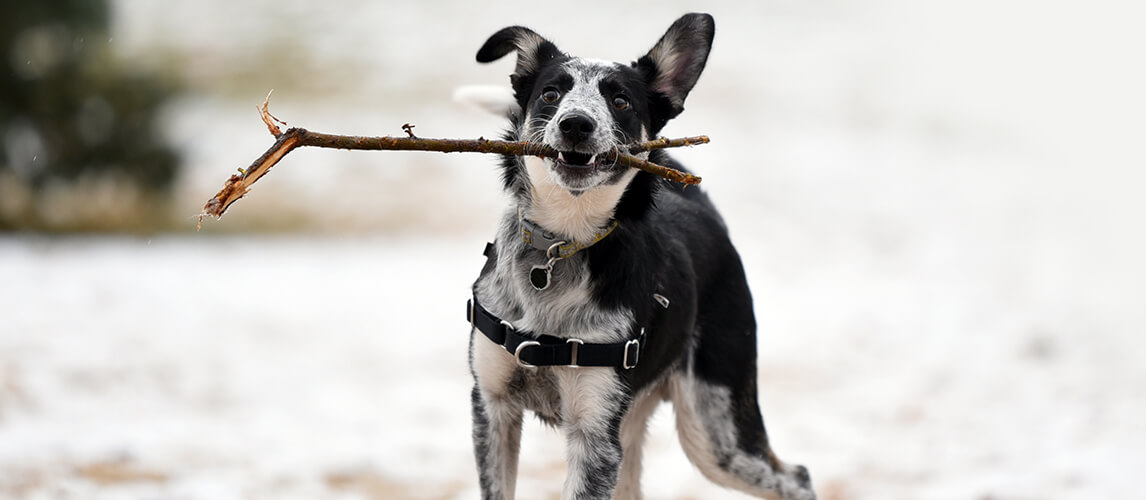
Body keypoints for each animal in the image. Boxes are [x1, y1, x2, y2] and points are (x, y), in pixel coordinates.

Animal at [465, 12, 815, 499]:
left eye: (620, 101)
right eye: (551, 94)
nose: (576, 124)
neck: (561, 248)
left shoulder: (594, 432)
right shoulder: (492, 407)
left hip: (717, 427)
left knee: (797, 477)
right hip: (637, 424)